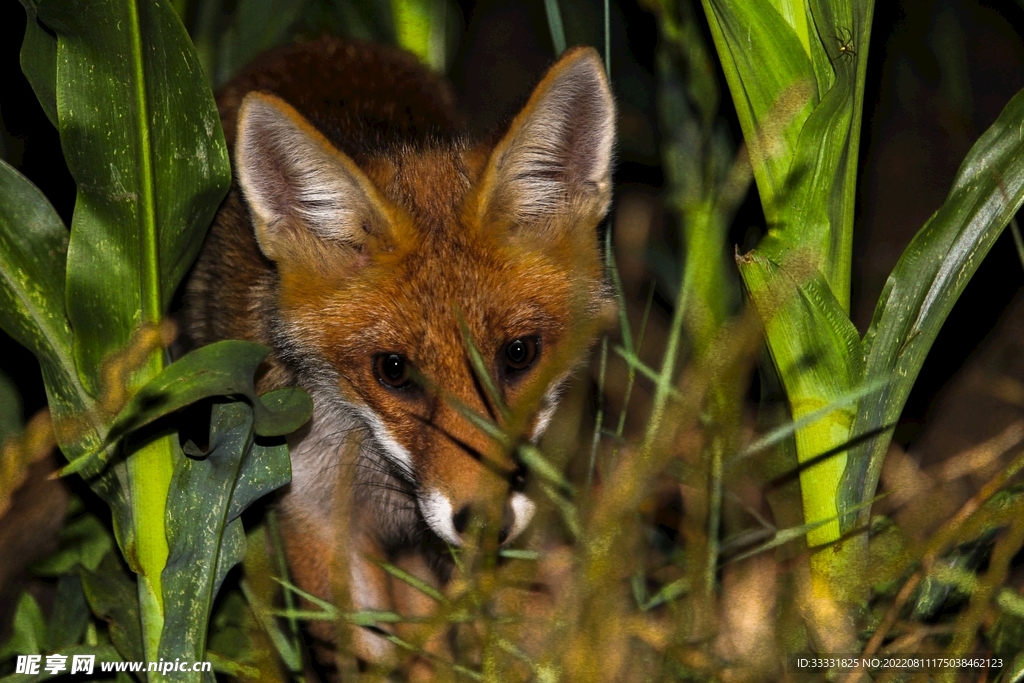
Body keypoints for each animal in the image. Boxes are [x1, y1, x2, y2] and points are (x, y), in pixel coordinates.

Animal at [182, 36, 614, 663]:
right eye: (393, 371)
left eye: (518, 354)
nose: (483, 523)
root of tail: (316, 41)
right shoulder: (313, 510)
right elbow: (374, 655)